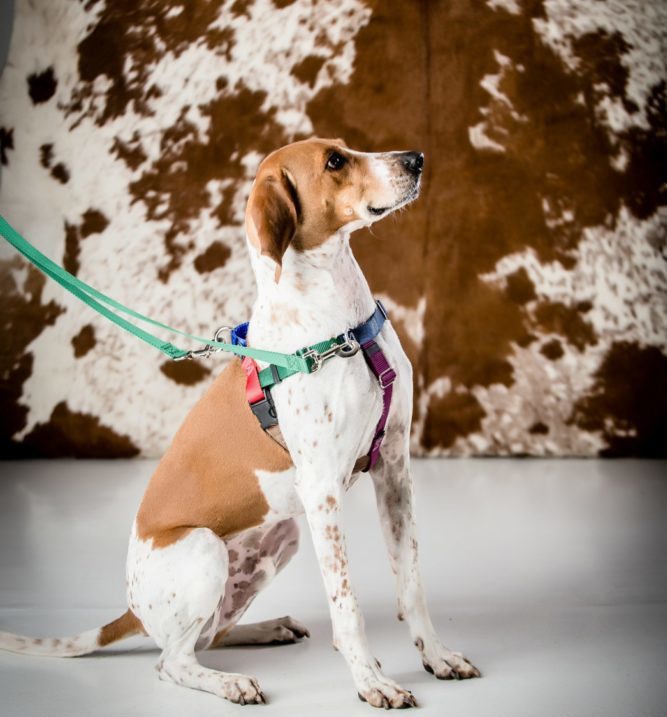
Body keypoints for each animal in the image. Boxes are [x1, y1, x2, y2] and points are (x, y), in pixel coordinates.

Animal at [0, 138, 480, 704]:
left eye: (345, 149)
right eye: (335, 162)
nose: (416, 159)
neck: (339, 329)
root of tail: (132, 612)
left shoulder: (395, 471)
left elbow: (411, 584)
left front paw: (437, 656)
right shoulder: (322, 492)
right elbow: (347, 604)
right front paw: (370, 681)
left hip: (283, 536)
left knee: (212, 635)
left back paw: (268, 628)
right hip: (207, 549)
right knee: (171, 661)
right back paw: (230, 683)